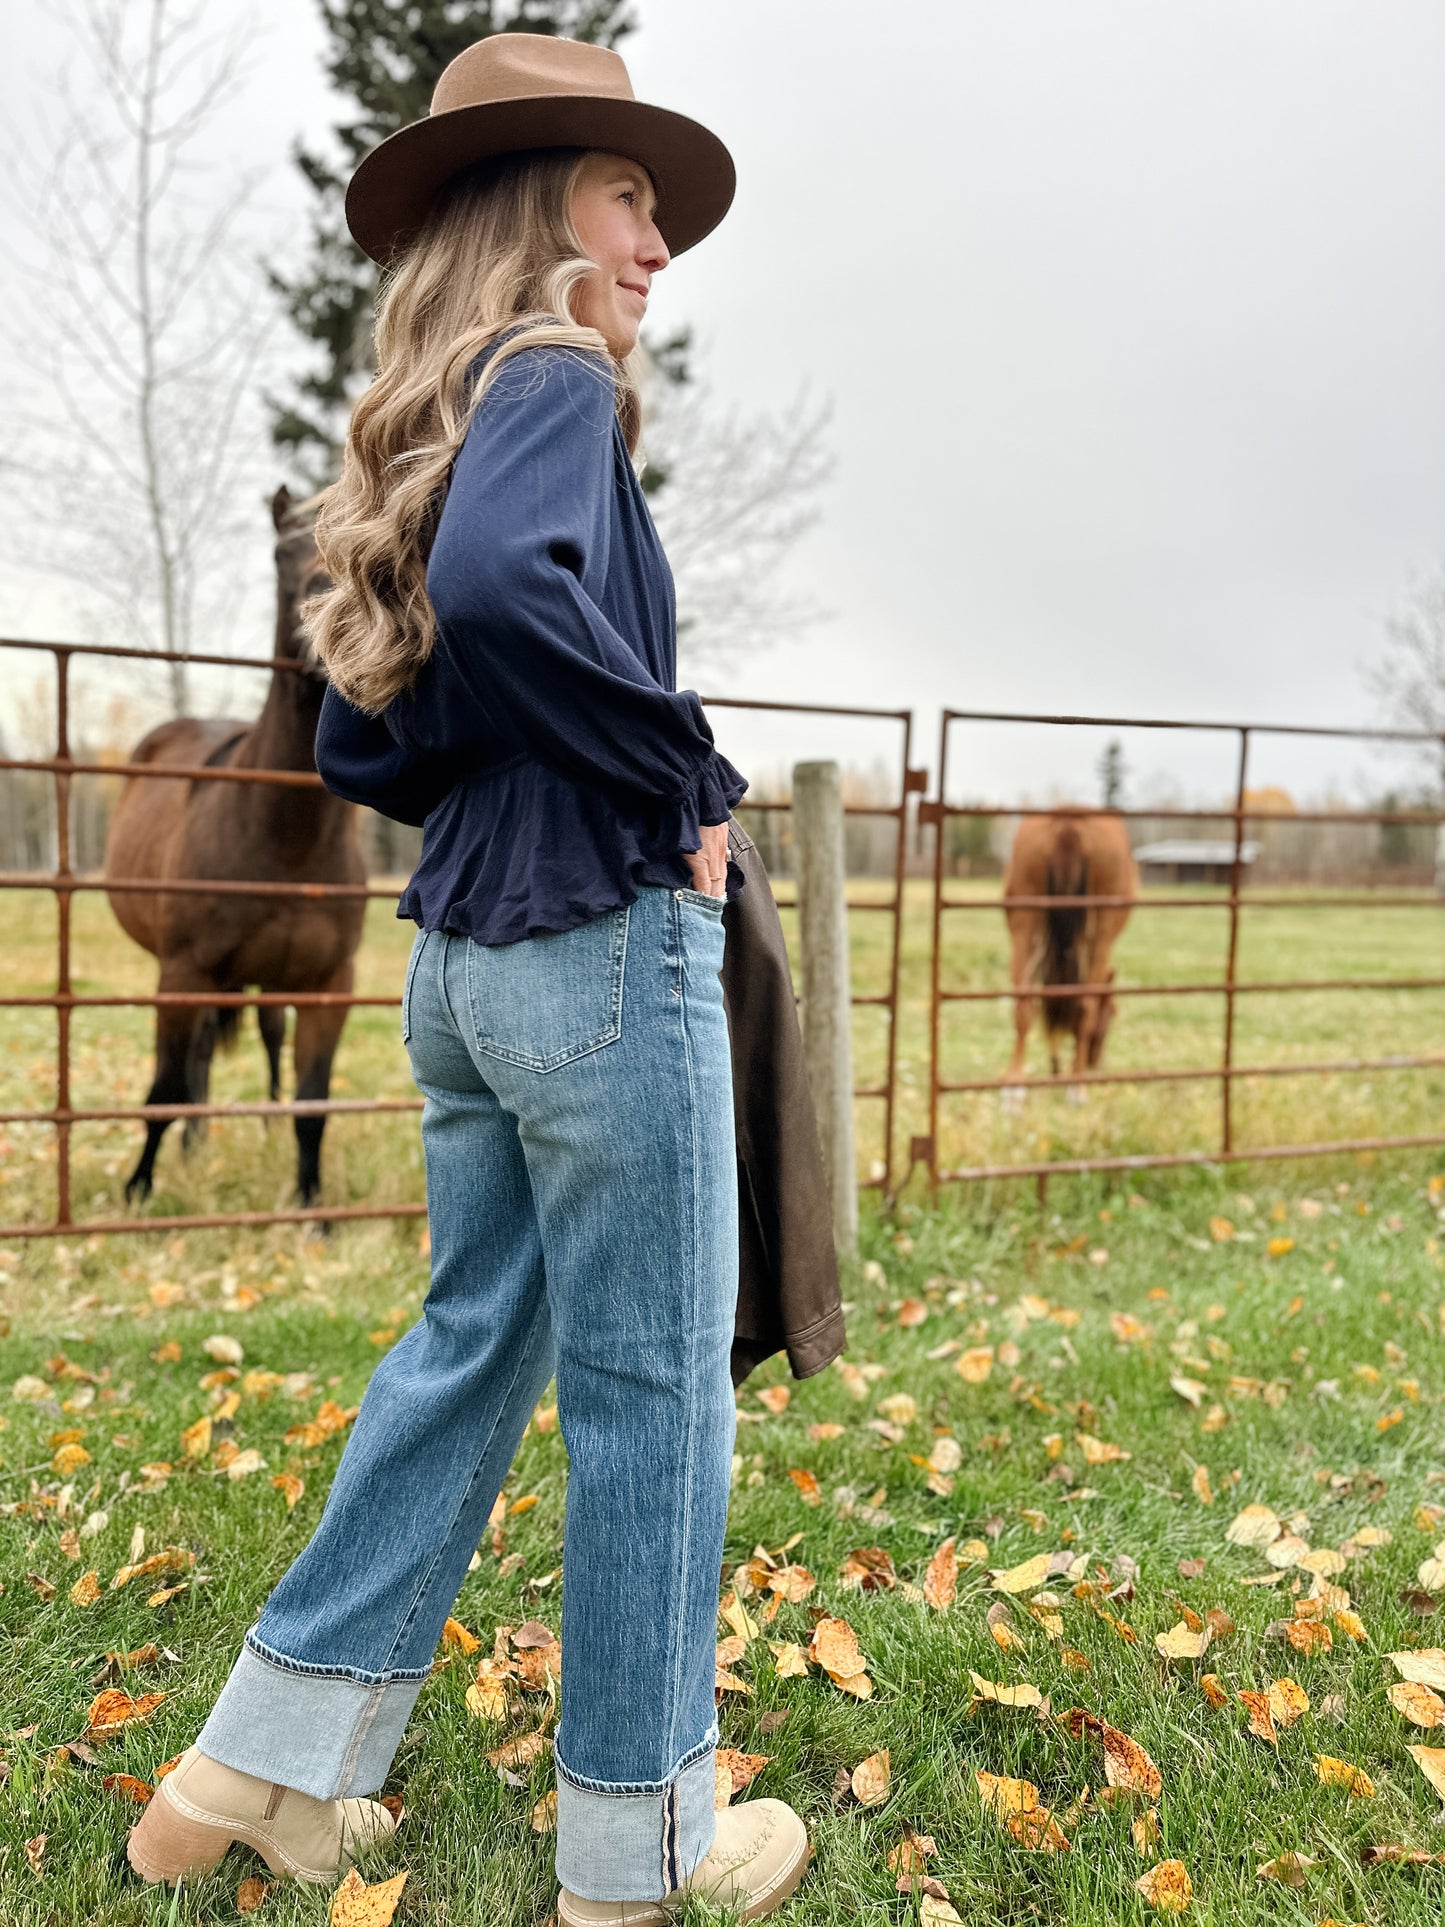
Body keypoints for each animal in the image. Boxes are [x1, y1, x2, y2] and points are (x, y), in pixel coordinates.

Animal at [103, 485, 367, 1202]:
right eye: (279, 551)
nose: (329, 617)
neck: (283, 840)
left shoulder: (329, 985)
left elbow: (313, 1103)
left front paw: (311, 1207)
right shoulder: (182, 975)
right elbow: (165, 1086)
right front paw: (138, 1190)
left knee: (267, 1040)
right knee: (192, 1058)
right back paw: (192, 1145)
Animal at [1001, 809, 1140, 1094]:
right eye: (1111, 1013)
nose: (1096, 1062)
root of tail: (1069, 822)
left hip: (1024, 923)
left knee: (1024, 1003)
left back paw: (1015, 1080)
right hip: (1100, 936)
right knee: (1085, 1005)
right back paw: (1077, 1083)